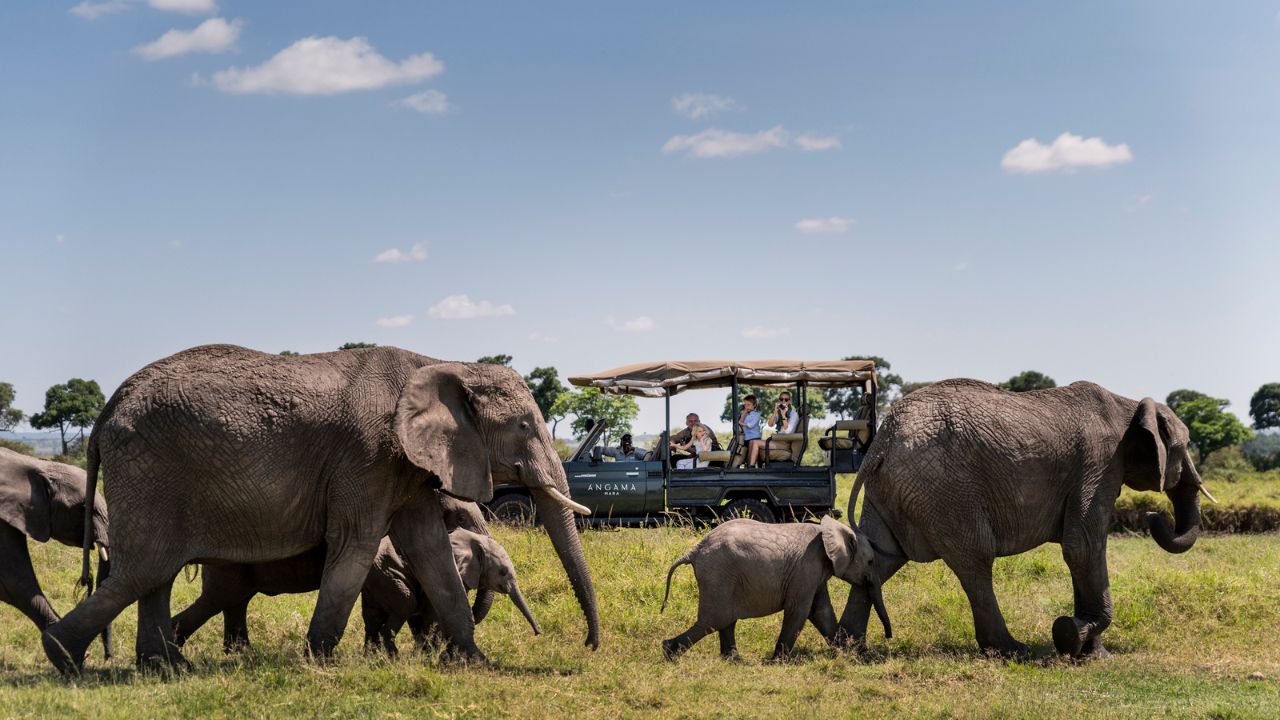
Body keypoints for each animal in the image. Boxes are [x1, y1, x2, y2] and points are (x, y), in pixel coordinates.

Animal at [361, 528, 539, 656]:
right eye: (503, 572)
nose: (538, 633)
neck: (474, 541)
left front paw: (424, 654)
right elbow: (432, 614)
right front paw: (430, 654)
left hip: (378, 580)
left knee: (371, 618)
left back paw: (372, 658)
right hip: (388, 577)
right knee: (406, 604)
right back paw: (393, 658)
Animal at [660, 517, 890, 661]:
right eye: (870, 562)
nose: (888, 637)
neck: (830, 529)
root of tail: (695, 550)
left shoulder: (815, 573)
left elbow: (821, 611)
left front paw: (846, 653)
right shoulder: (807, 567)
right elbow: (799, 611)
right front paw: (778, 662)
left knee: (725, 620)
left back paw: (734, 660)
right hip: (718, 575)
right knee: (714, 620)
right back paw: (669, 652)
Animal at [838, 379, 1210, 660]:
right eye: (1185, 445)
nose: (1153, 514)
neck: (1128, 405)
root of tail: (881, 442)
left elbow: (1080, 551)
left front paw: (1090, 652)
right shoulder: (1099, 465)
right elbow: (1083, 547)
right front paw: (1070, 635)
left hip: (896, 487)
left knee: (880, 557)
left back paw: (848, 646)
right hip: (943, 488)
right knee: (976, 560)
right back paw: (1012, 650)